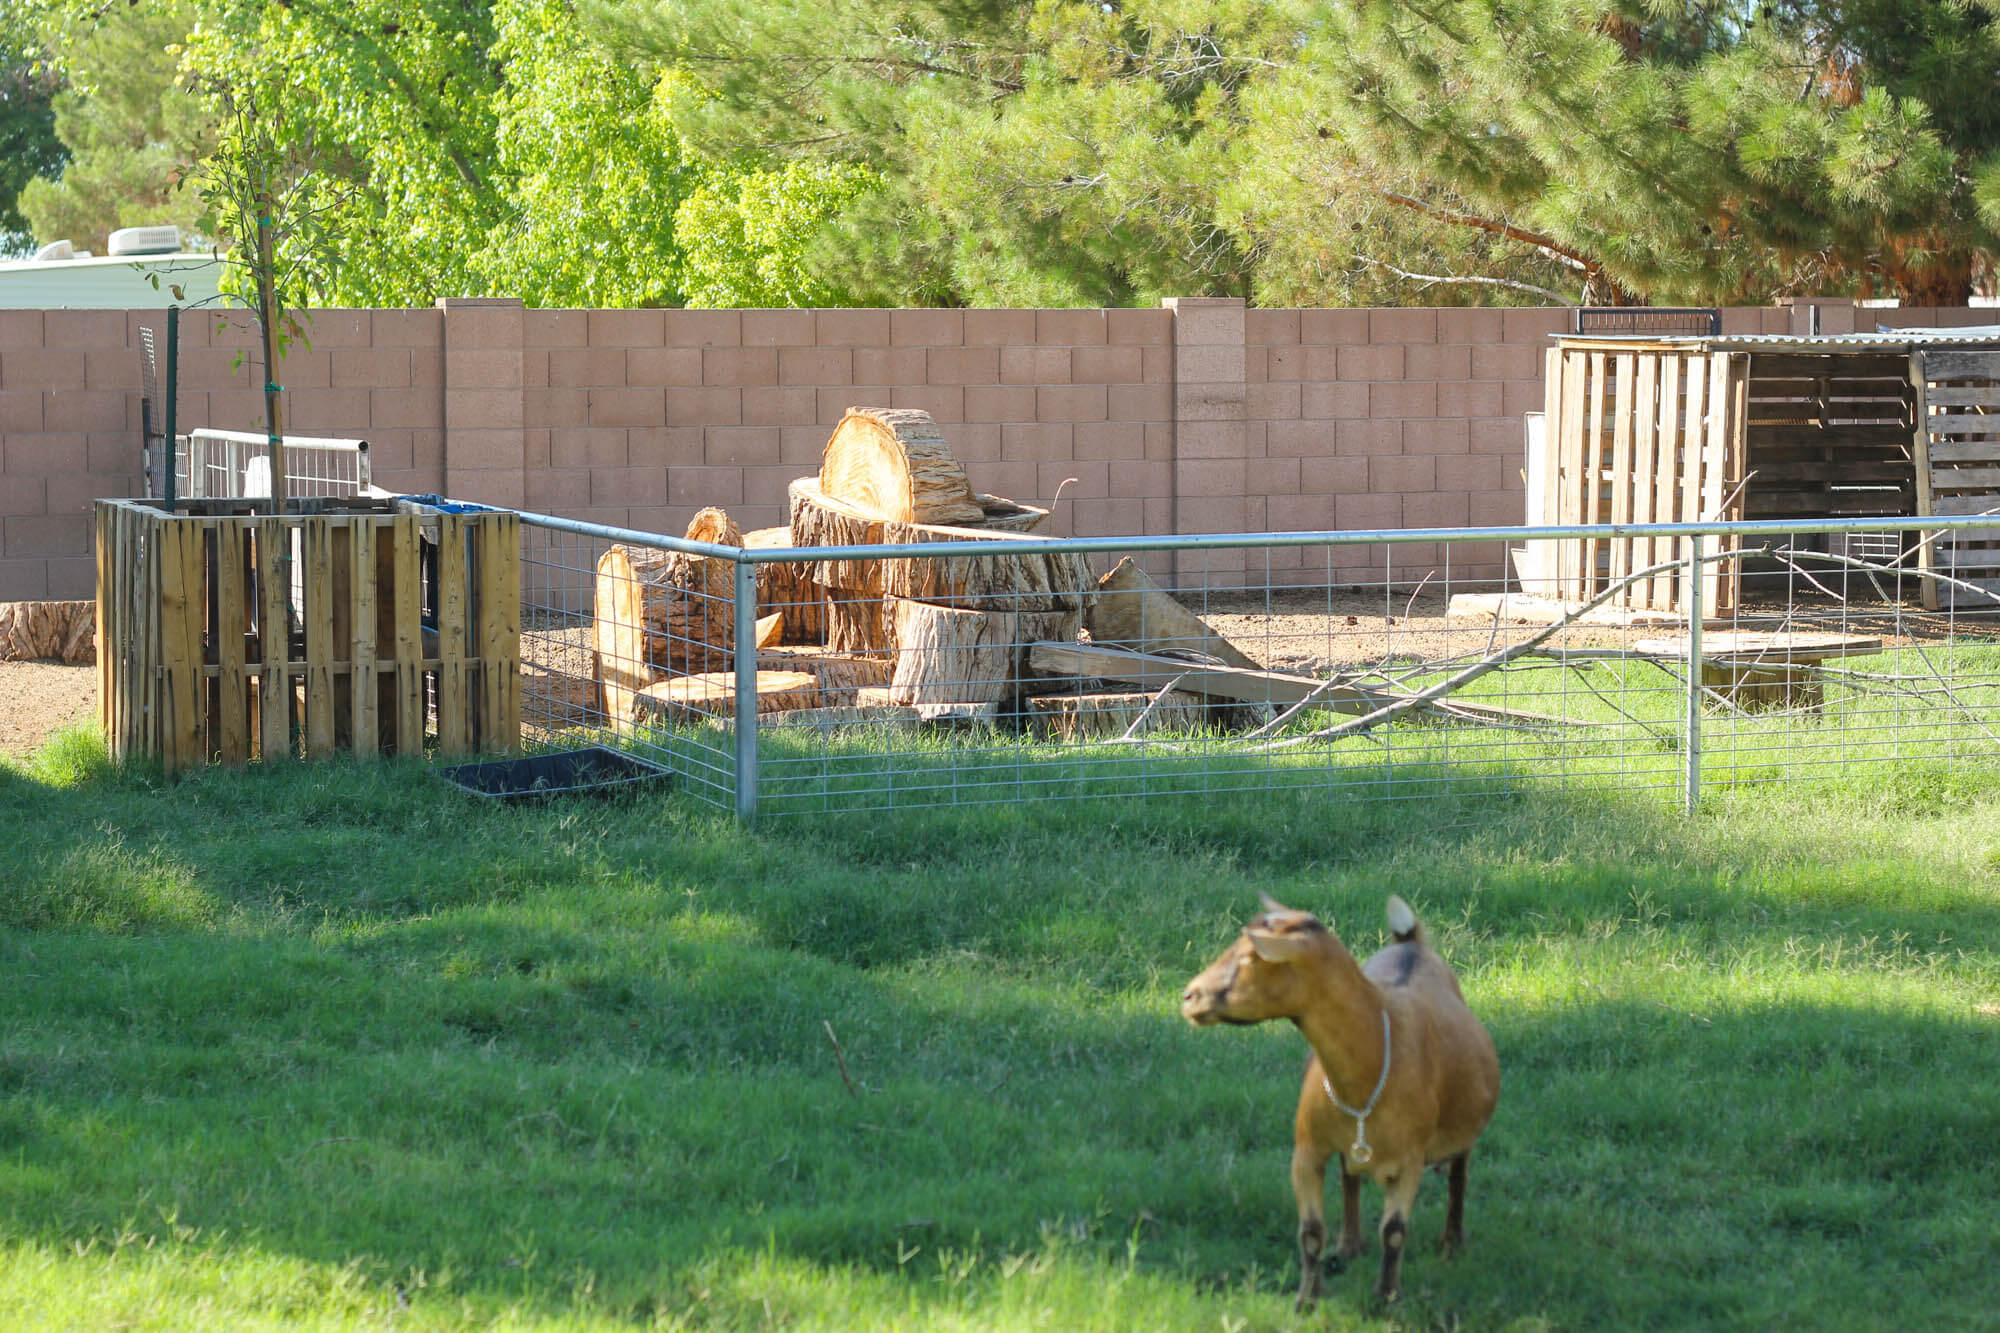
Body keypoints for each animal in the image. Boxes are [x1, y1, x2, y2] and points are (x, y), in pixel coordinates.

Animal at [1176, 888, 1496, 1304]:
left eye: (1251, 957)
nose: (1189, 997)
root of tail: (1410, 945)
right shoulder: (1307, 1150)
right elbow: (1311, 1232)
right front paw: (1307, 1299)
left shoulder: (1410, 1160)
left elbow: (1394, 1232)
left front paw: (1386, 1298)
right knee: (1349, 1177)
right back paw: (1349, 1245)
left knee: (1459, 1172)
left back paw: (1453, 1242)